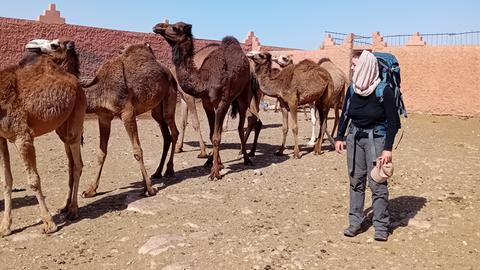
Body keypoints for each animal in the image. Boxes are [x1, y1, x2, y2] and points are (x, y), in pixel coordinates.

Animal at [0, 38, 85, 236]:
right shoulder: (0, 137)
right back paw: (65, 206)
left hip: (77, 118)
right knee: (71, 163)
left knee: (78, 164)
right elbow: (6, 181)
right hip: (62, 129)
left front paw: (49, 223)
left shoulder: (22, 136)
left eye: (54, 45)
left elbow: (34, 180)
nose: (31, 45)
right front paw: (5, 226)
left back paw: (73, 210)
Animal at [78, 43, 179, 197]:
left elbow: (137, 150)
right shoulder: (104, 116)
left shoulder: (128, 113)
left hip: (170, 96)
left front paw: (149, 189)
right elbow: (101, 153)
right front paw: (90, 190)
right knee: (165, 134)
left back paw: (169, 170)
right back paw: (157, 172)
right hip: (156, 108)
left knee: (173, 130)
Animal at [155, 21, 255, 179]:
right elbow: (211, 133)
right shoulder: (207, 103)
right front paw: (217, 164)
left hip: (244, 96)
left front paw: (215, 172)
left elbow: (216, 136)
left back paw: (246, 158)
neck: (204, 79)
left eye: (175, 27)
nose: (157, 26)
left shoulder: (222, 102)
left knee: (241, 126)